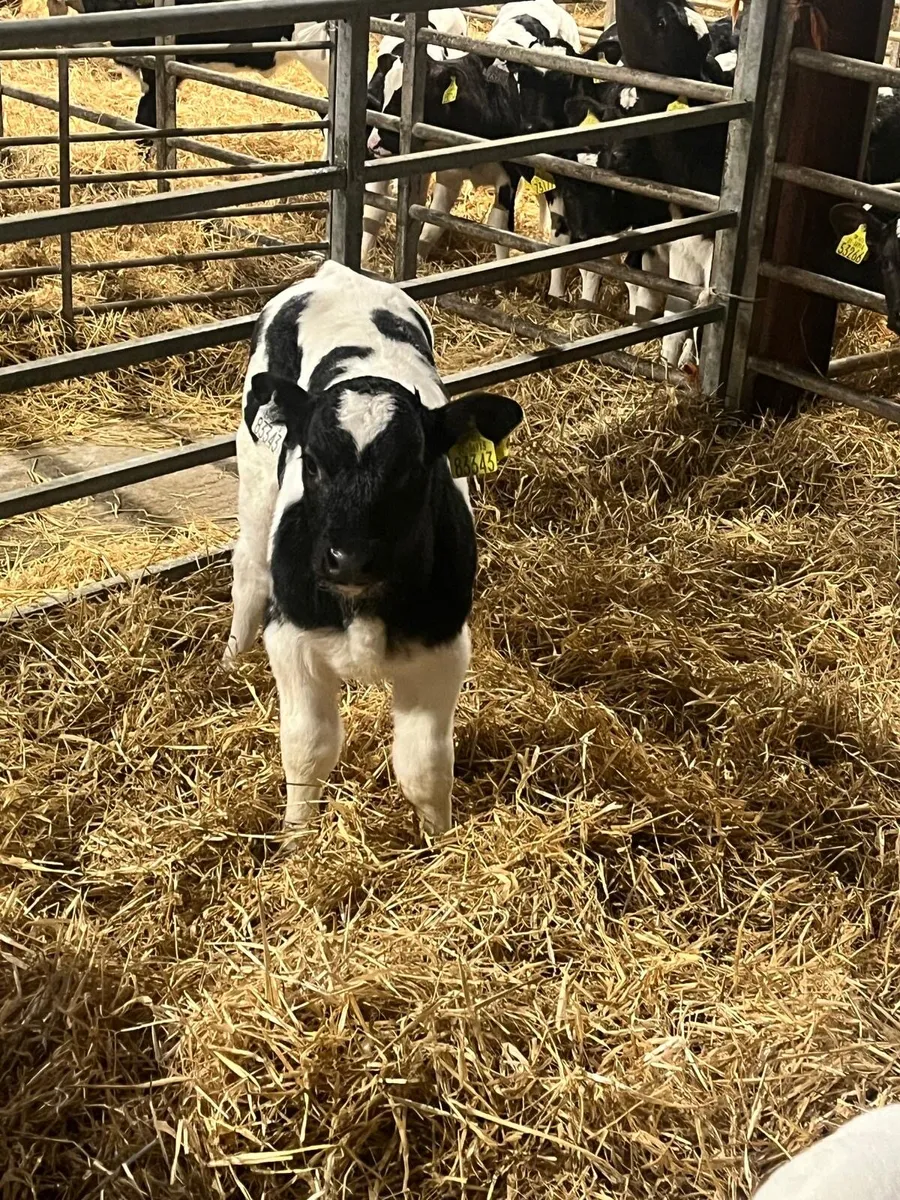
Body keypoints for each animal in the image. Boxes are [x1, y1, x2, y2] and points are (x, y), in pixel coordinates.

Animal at [223, 260, 523, 838]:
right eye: (312, 463)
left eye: (413, 468)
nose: (349, 558)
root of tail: (337, 272)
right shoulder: (291, 639)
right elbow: (308, 749)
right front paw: (296, 840)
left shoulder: (444, 649)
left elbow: (425, 765)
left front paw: (439, 843)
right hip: (254, 469)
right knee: (247, 566)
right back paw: (229, 660)